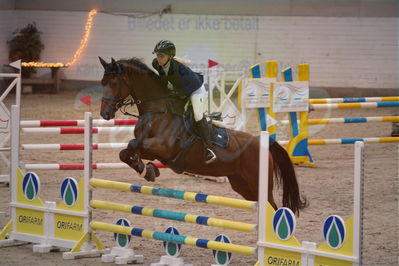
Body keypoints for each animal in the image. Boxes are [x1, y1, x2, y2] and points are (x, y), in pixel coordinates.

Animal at [98, 57, 308, 215]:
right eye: (102, 83)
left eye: (114, 83)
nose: (104, 114)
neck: (157, 111)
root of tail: (262, 142)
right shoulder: (153, 150)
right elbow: (126, 152)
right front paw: (147, 170)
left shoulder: (162, 147)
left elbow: (134, 144)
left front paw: (147, 170)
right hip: (242, 184)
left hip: (258, 182)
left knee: (272, 207)